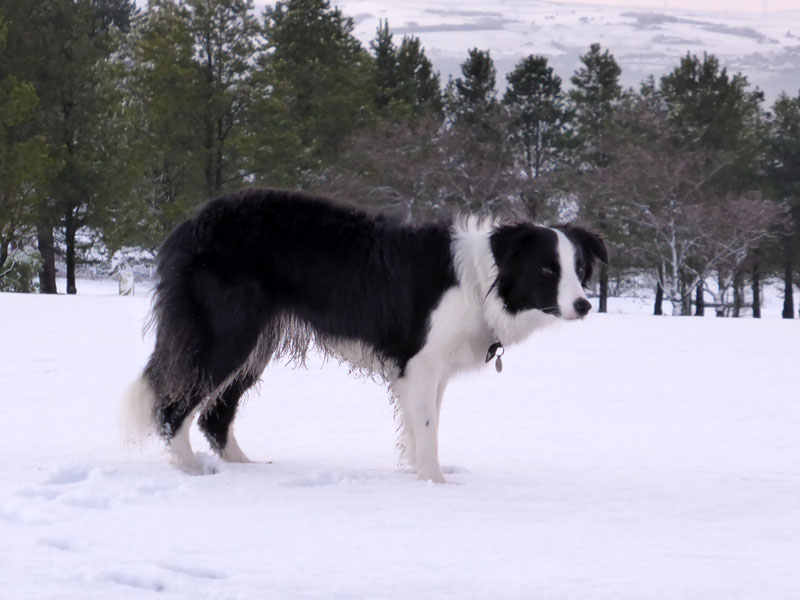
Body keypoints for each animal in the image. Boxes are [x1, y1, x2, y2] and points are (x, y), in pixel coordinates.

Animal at [123, 188, 608, 482]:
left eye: (580, 268)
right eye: (546, 270)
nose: (585, 305)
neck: (480, 281)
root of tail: (192, 223)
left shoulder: (426, 371)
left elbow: (420, 425)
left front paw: (419, 474)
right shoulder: (421, 363)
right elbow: (428, 427)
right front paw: (437, 483)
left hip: (255, 344)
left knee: (214, 414)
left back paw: (248, 467)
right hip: (227, 334)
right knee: (172, 406)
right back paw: (191, 470)